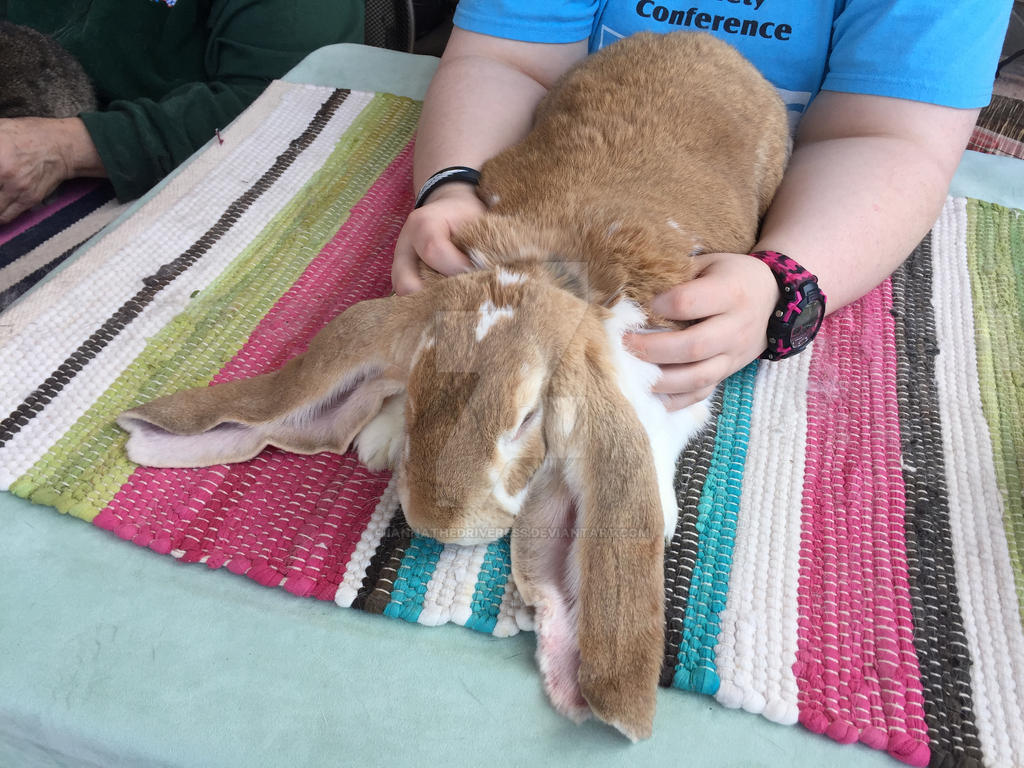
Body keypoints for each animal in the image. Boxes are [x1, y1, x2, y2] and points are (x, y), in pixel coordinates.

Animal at [117, 31, 790, 741]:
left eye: (526, 420)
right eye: (418, 392)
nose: (438, 524)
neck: (543, 274)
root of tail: (700, 40)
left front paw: (658, 514)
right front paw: (381, 439)